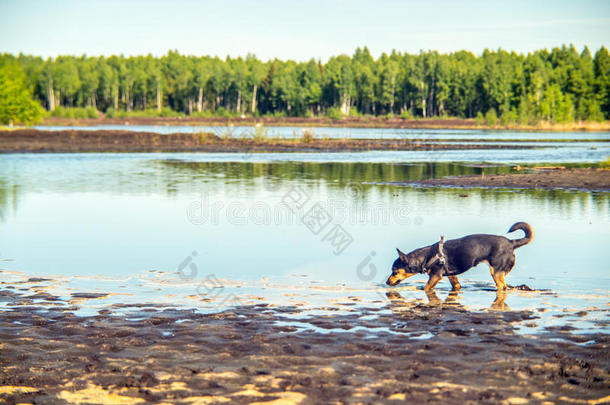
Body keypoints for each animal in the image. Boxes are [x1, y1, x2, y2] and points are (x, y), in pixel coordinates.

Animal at [384, 221, 532, 290]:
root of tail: (511, 242)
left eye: (394, 271)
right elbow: (457, 286)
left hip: (496, 272)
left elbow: (426, 288)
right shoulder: (452, 276)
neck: (426, 257)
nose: (386, 282)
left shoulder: (435, 276)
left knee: (502, 287)